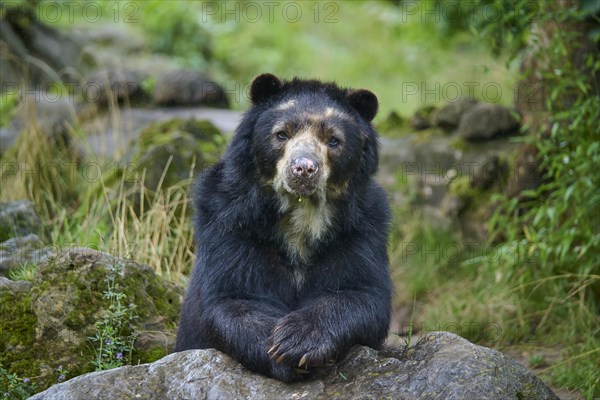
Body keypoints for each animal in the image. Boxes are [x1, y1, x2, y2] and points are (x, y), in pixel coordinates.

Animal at [176, 73, 392, 382]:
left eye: (333, 140)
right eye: (281, 134)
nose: (303, 169)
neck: (301, 214)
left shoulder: (360, 230)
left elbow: (362, 292)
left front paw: (298, 341)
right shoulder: (232, 223)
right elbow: (234, 295)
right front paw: (280, 351)